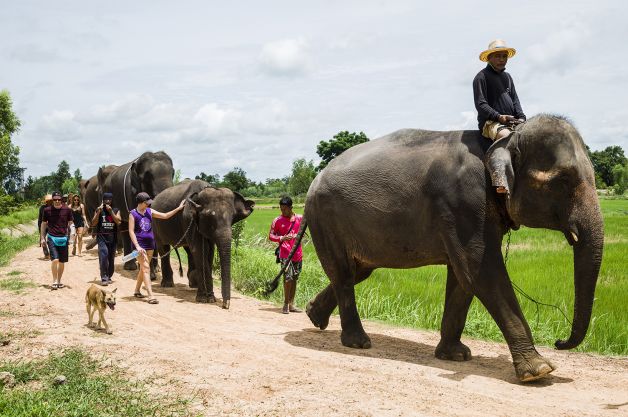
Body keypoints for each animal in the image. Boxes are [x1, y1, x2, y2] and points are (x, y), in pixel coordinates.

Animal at [151, 179, 254, 309]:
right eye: (210, 218)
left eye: (233, 218)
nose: (225, 305)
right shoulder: (189, 219)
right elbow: (200, 251)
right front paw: (205, 299)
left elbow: (209, 252)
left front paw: (208, 297)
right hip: (156, 223)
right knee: (163, 248)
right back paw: (168, 284)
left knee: (188, 250)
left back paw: (193, 285)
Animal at [300, 114, 603, 382]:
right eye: (562, 181)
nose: (558, 341)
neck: (502, 140)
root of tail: (315, 179)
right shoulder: (464, 202)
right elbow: (480, 271)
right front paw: (538, 371)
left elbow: (462, 279)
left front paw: (455, 356)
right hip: (325, 217)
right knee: (343, 273)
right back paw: (358, 342)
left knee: (357, 271)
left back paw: (314, 315)